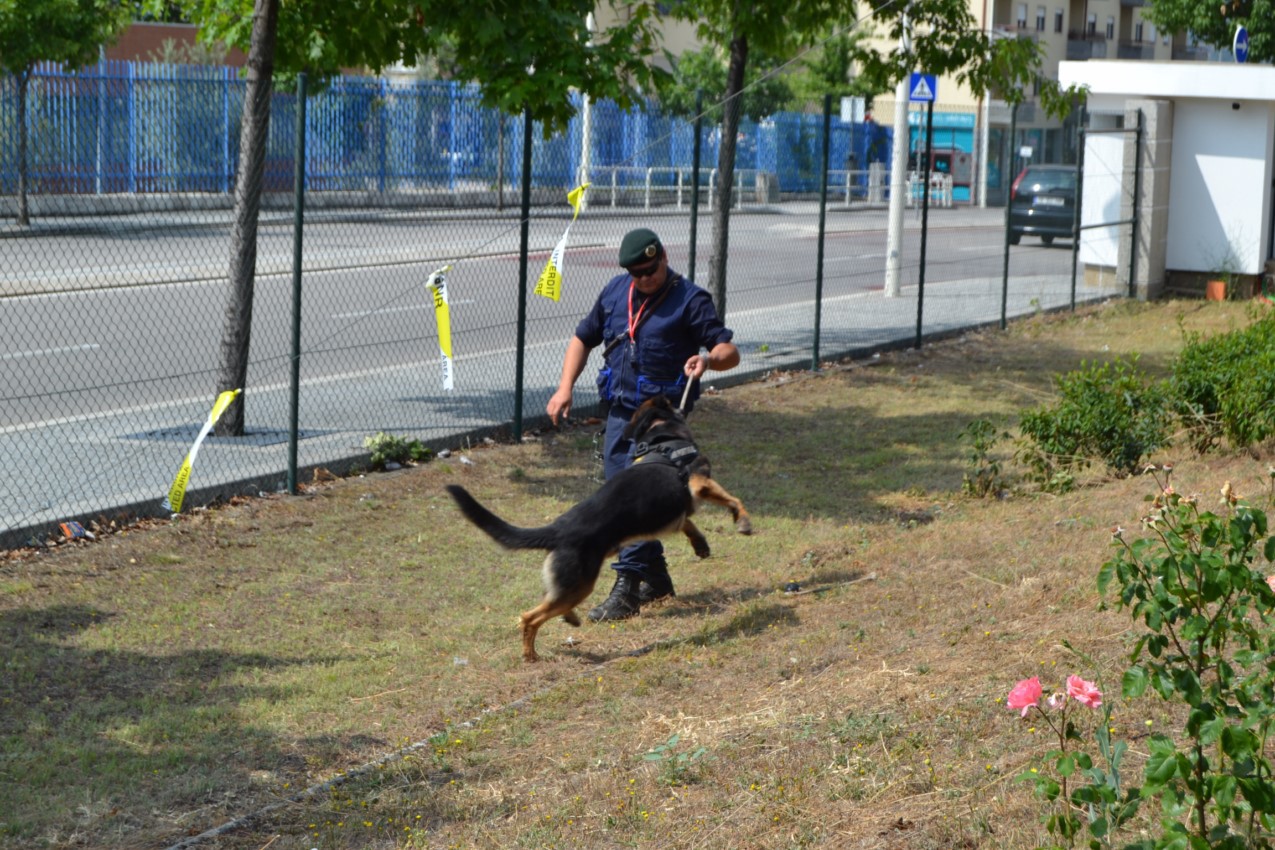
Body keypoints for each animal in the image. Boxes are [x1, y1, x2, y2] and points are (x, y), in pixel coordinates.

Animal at [446, 395, 749, 662]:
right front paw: (743, 521)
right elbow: (733, 499)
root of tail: (558, 529)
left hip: (571, 584)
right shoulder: (699, 483)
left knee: (549, 600)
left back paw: (567, 618)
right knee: (529, 617)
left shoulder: (677, 510)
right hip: (580, 584)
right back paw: (531, 655)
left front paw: (701, 544)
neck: (660, 438)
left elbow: (689, 522)